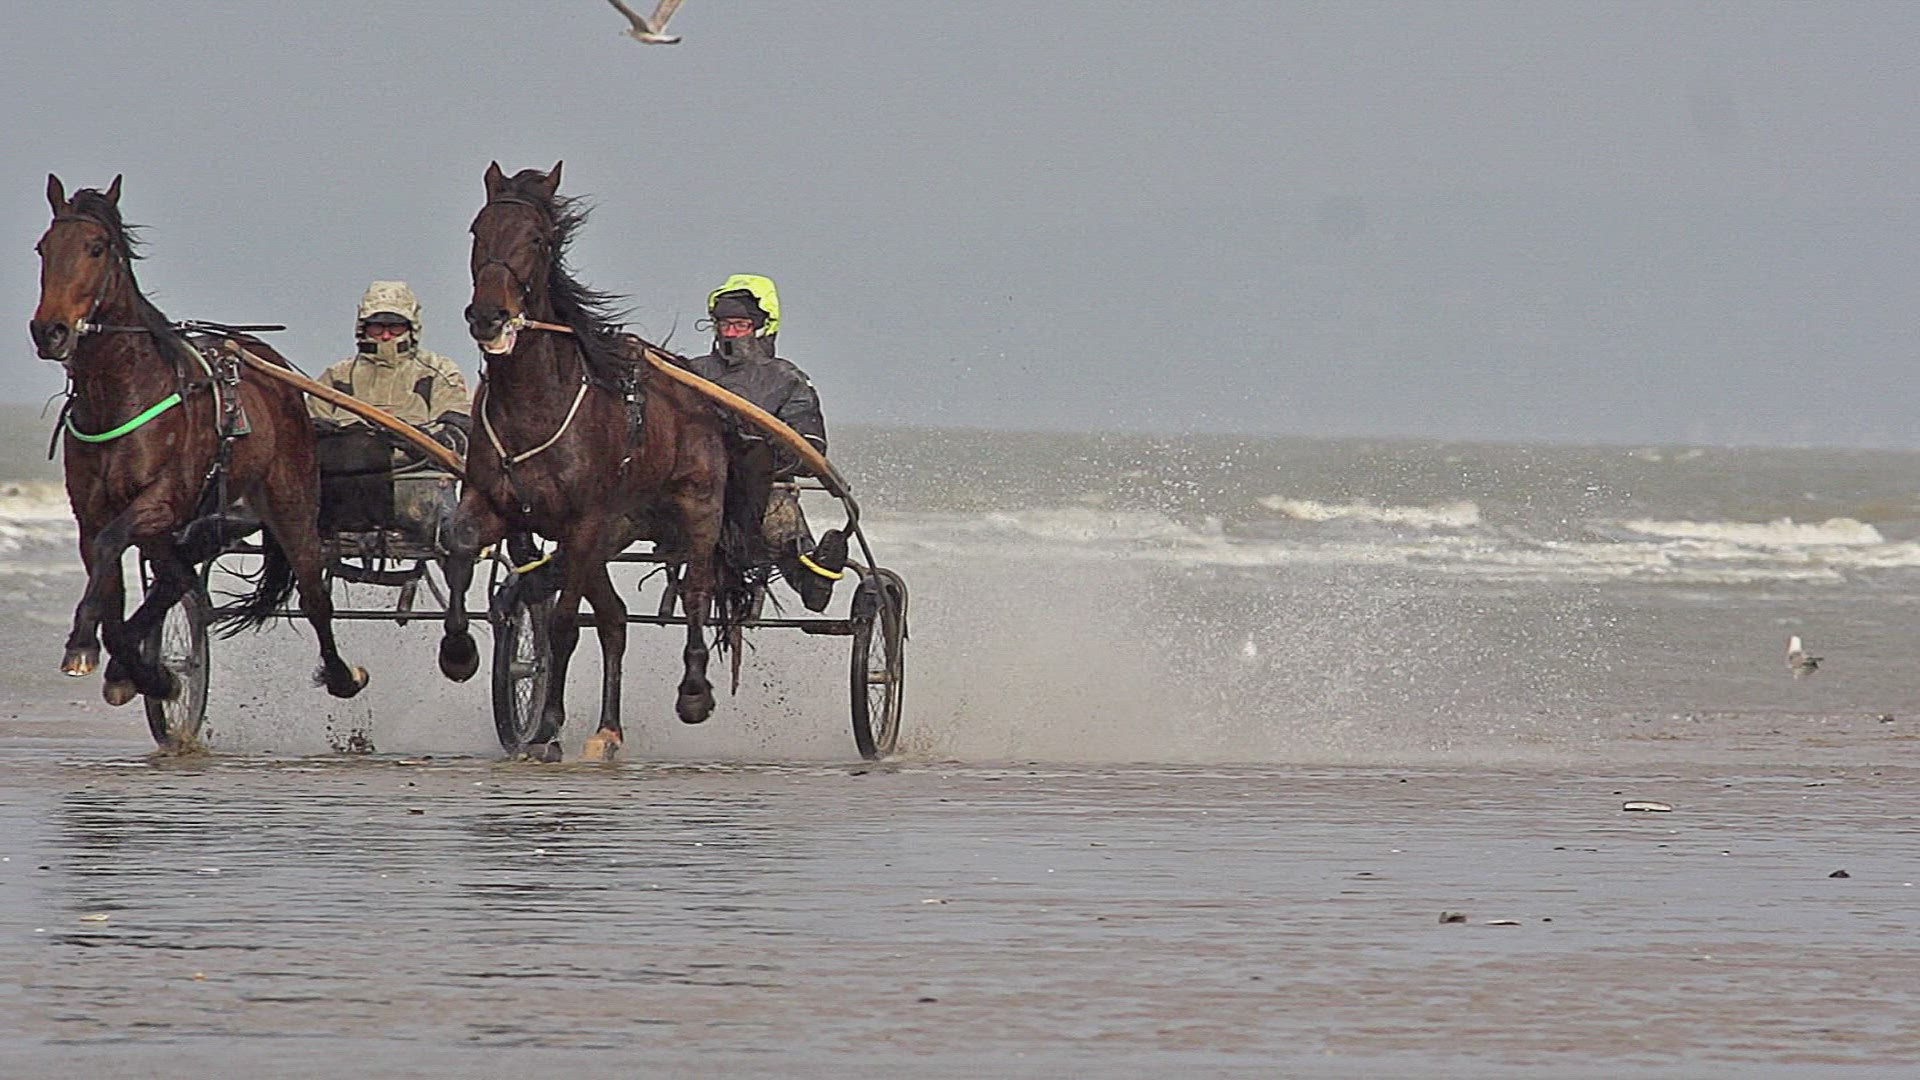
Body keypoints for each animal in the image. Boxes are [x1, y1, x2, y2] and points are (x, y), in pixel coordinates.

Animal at [29, 174, 368, 740]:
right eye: (43, 248)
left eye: (96, 247)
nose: (49, 330)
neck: (123, 391)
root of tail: (272, 369)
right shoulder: (92, 512)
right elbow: (112, 587)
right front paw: (140, 671)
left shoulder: (160, 501)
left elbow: (111, 549)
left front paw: (86, 646)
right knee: (179, 577)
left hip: (289, 498)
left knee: (312, 589)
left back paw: (343, 675)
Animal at [438, 161, 738, 762]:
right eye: (477, 231)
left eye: (538, 238)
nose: (488, 316)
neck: (535, 400)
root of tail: (696, 391)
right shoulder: (495, 502)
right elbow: (459, 544)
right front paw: (458, 650)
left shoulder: (582, 521)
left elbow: (561, 624)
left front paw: (547, 724)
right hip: (613, 531)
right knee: (616, 620)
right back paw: (607, 730)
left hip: (694, 504)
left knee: (695, 590)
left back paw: (694, 691)